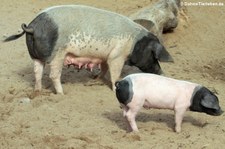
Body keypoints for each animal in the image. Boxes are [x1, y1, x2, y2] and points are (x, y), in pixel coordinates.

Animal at [3, 4, 172, 94]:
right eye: (154, 56)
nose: (162, 73)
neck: (135, 43)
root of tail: (32, 26)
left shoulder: (105, 56)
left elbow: (104, 68)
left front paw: (95, 79)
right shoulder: (117, 56)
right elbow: (115, 73)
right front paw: (115, 87)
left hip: (35, 56)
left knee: (37, 72)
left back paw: (38, 91)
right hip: (57, 54)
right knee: (53, 75)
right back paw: (62, 93)